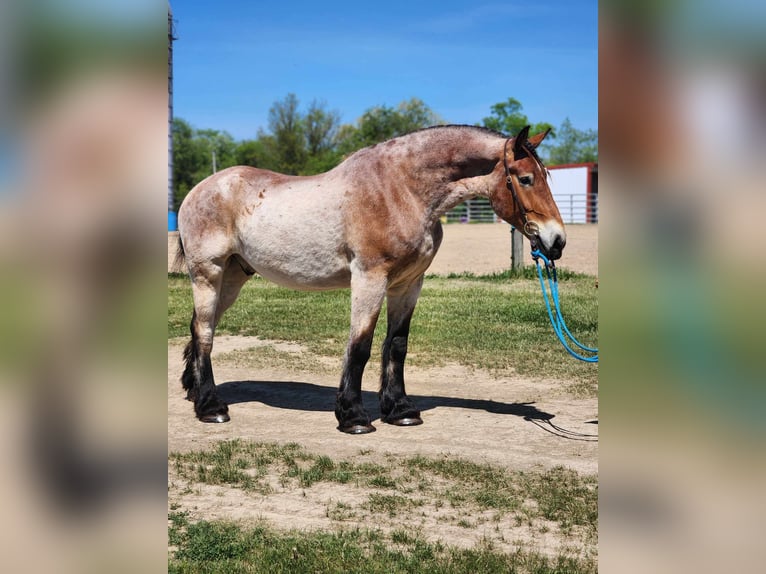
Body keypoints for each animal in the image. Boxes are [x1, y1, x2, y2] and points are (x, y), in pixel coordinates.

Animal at [177, 124, 568, 434]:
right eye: (526, 179)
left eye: (547, 177)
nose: (557, 241)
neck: (401, 190)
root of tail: (200, 190)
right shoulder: (370, 278)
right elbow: (360, 346)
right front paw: (353, 417)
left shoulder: (408, 284)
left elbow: (396, 345)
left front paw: (401, 410)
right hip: (208, 273)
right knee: (205, 332)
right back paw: (211, 408)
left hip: (233, 277)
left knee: (199, 327)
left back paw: (195, 392)